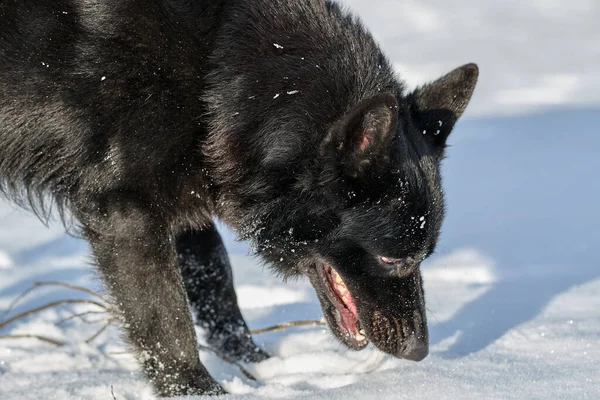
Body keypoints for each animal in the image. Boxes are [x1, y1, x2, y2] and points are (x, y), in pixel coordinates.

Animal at [0, 0, 478, 396]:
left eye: (425, 255)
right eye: (391, 259)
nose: (419, 351)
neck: (216, 68)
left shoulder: (185, 207)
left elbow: (217, 284)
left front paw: (259, 370)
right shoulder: (128, 216)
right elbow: (167, 323)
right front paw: (199, 391)